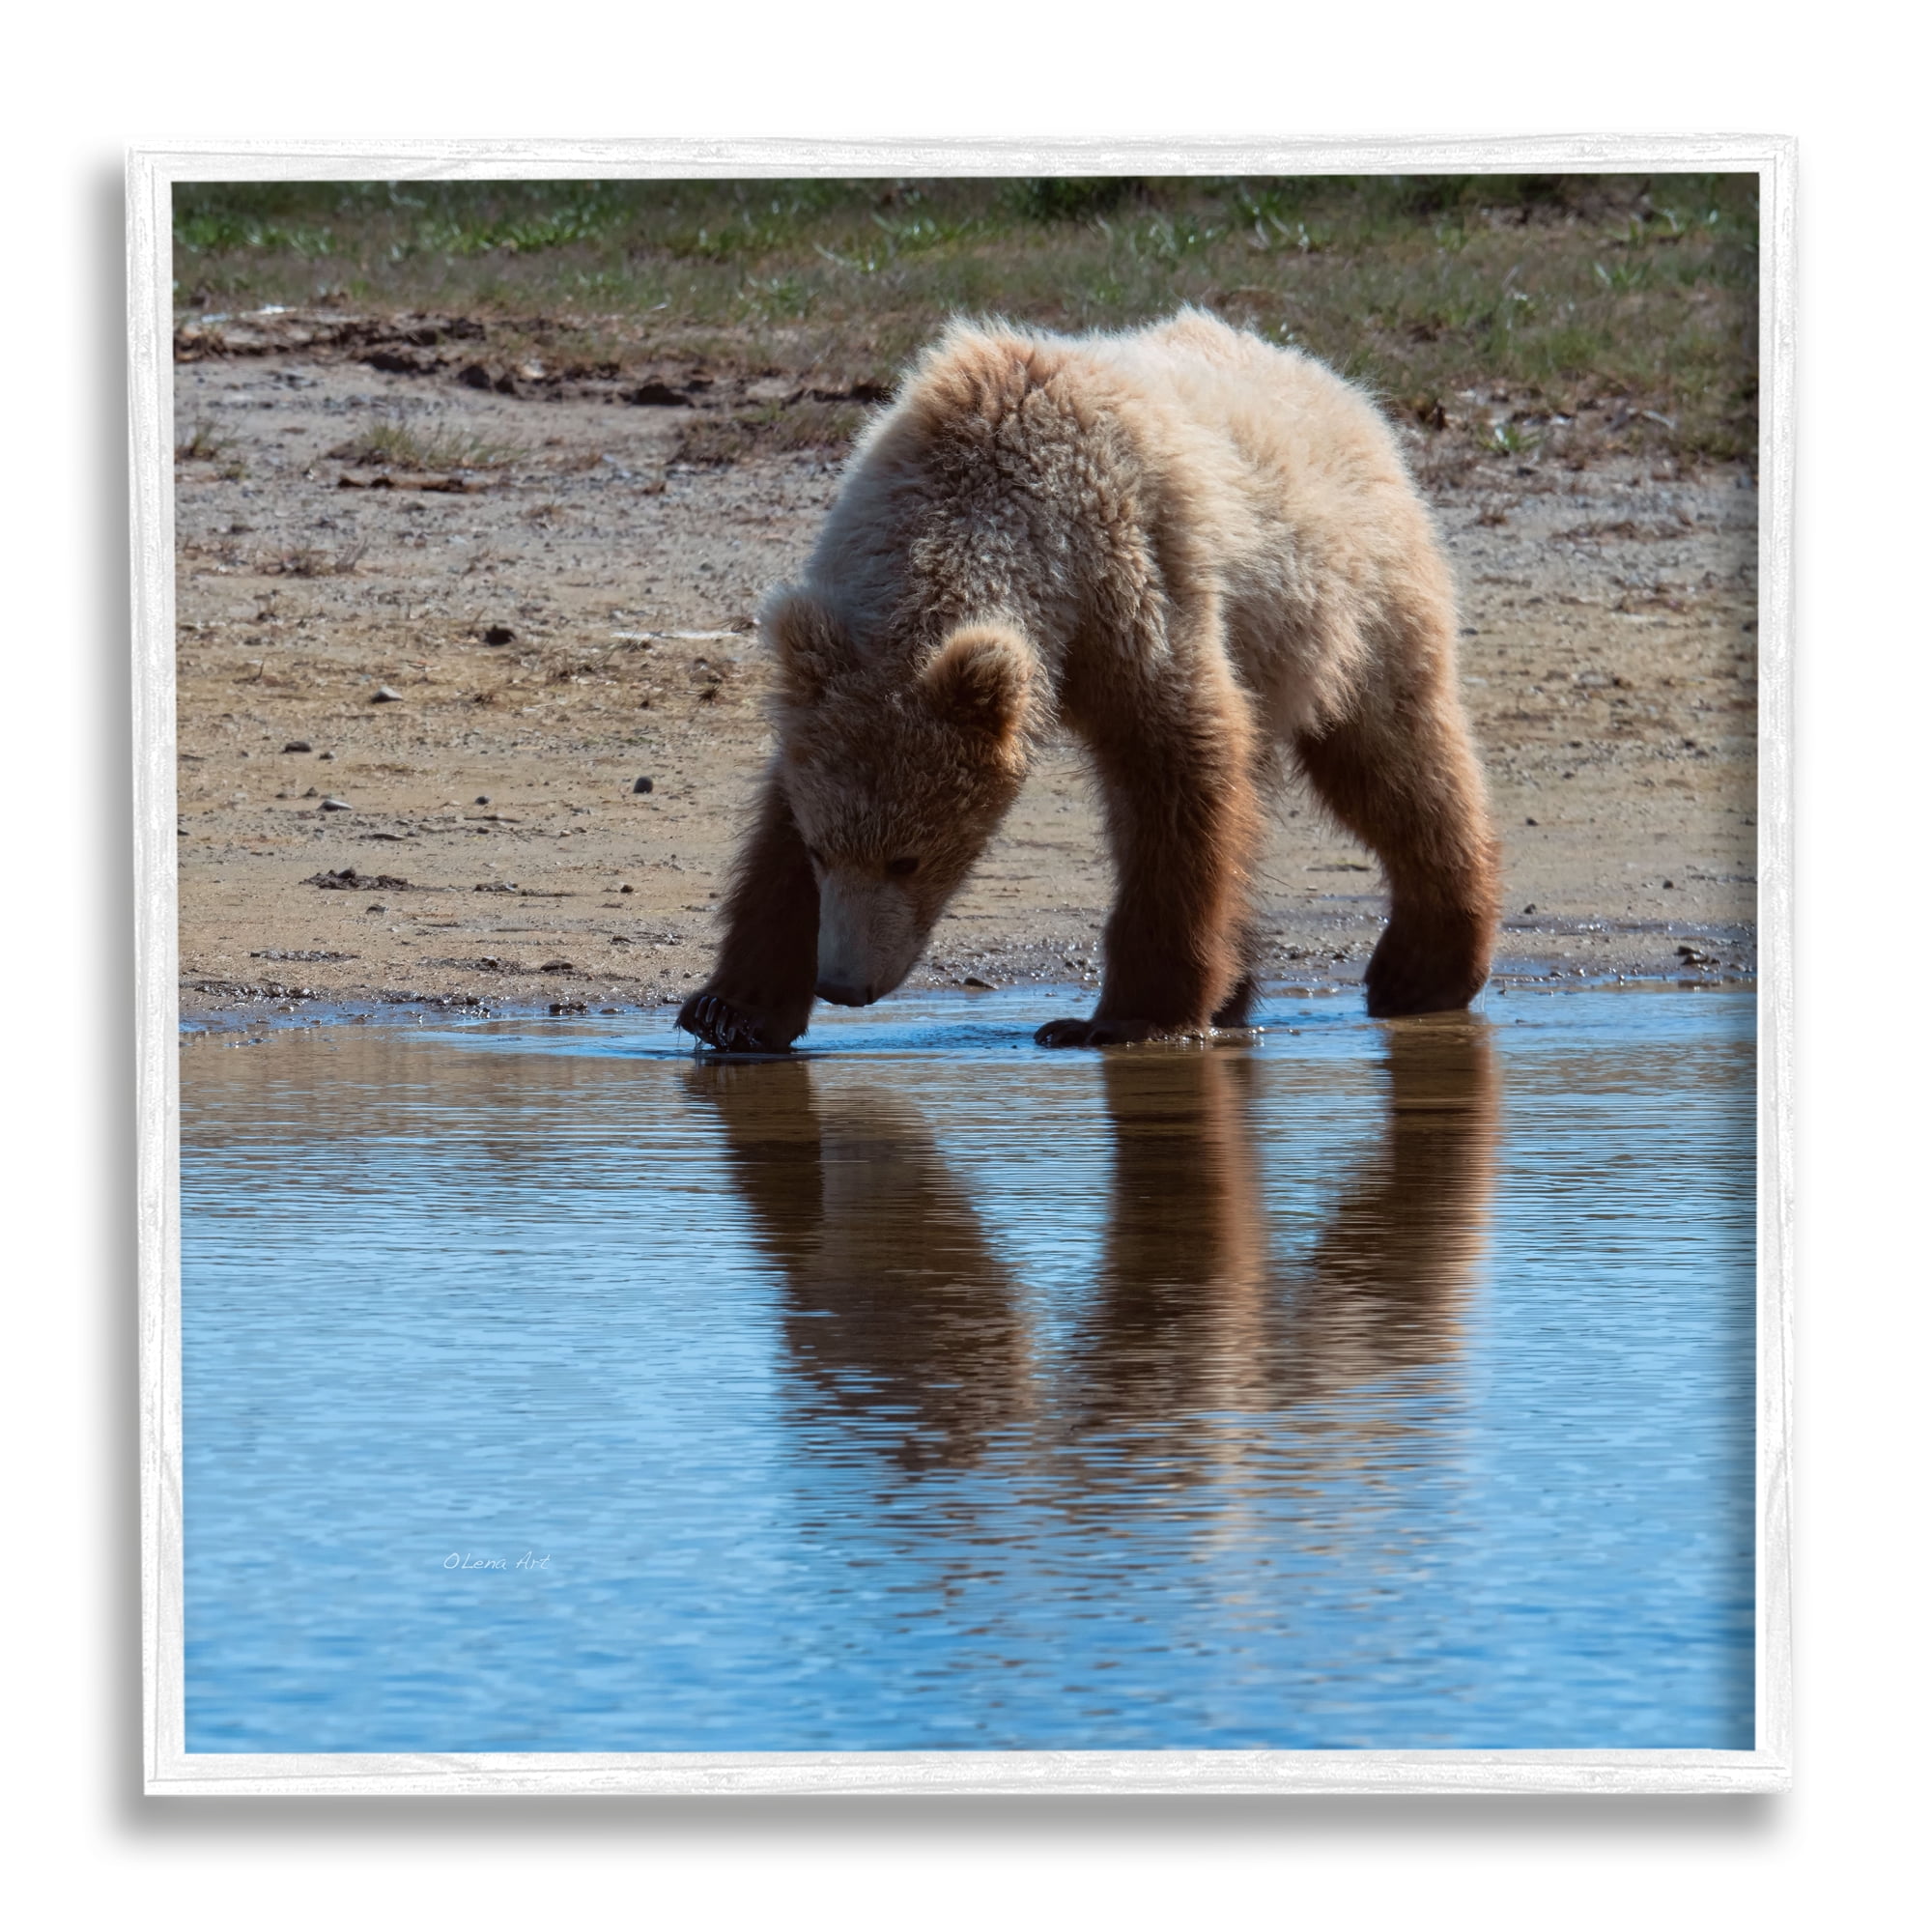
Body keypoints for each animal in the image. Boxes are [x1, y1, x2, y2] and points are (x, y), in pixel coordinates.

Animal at [677, 307, 1500, 1053]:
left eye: (908, 857)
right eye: (824, 851)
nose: (846, 984)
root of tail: (1339, 385)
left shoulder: (1132, 586)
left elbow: (1176, 773)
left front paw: (1122, 1016)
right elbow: (776, 822)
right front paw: (730, 1010)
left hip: (1350, 602)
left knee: (1392, 761)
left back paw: (1422, 968)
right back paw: (1243, 989)